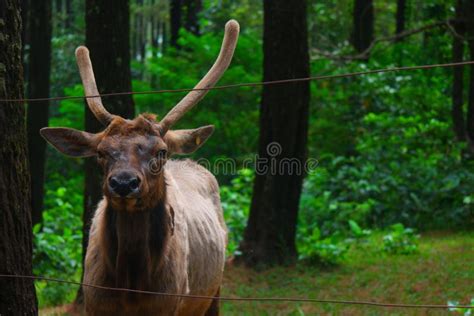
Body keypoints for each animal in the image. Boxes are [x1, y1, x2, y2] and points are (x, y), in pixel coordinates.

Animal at [40, 20, 239, 316]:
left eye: (161, 152)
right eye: (101, 152)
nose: (124, 182)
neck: (132, 286)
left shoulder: (169, 304)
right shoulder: (94, 303)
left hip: (214, 291)